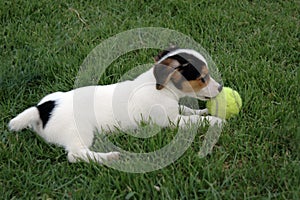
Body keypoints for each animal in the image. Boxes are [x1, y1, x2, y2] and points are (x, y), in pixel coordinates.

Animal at [8, 47, 223, 163]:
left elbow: (188, 110)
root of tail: (41, 110)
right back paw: (109, 157)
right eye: (203, 78)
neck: (160, 87)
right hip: (80, 131)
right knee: (76, 155)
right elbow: (193, 120)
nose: (221, 88)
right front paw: (215, 120)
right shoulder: (171, 121)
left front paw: (204, 110)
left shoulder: (174, 110)